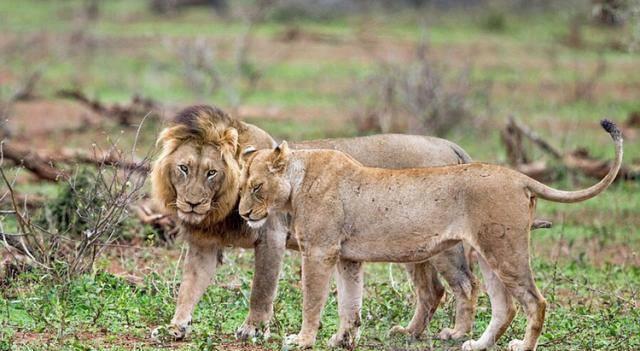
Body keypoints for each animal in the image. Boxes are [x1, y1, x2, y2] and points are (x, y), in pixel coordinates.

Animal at [238, 121, 624, 351]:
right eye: (240, 187)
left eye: (256, 187)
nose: (242, 214)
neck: (297, 180)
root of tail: (518, 176)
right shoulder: (347, 257)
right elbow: (350, 302)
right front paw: (341, 338)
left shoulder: (319, 251)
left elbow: (312, 300)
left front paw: (302, 339)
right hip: (488, 253)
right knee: (504, 306)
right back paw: (476, 344)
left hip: (503, 251)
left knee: (533, 301)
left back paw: (519, 346)